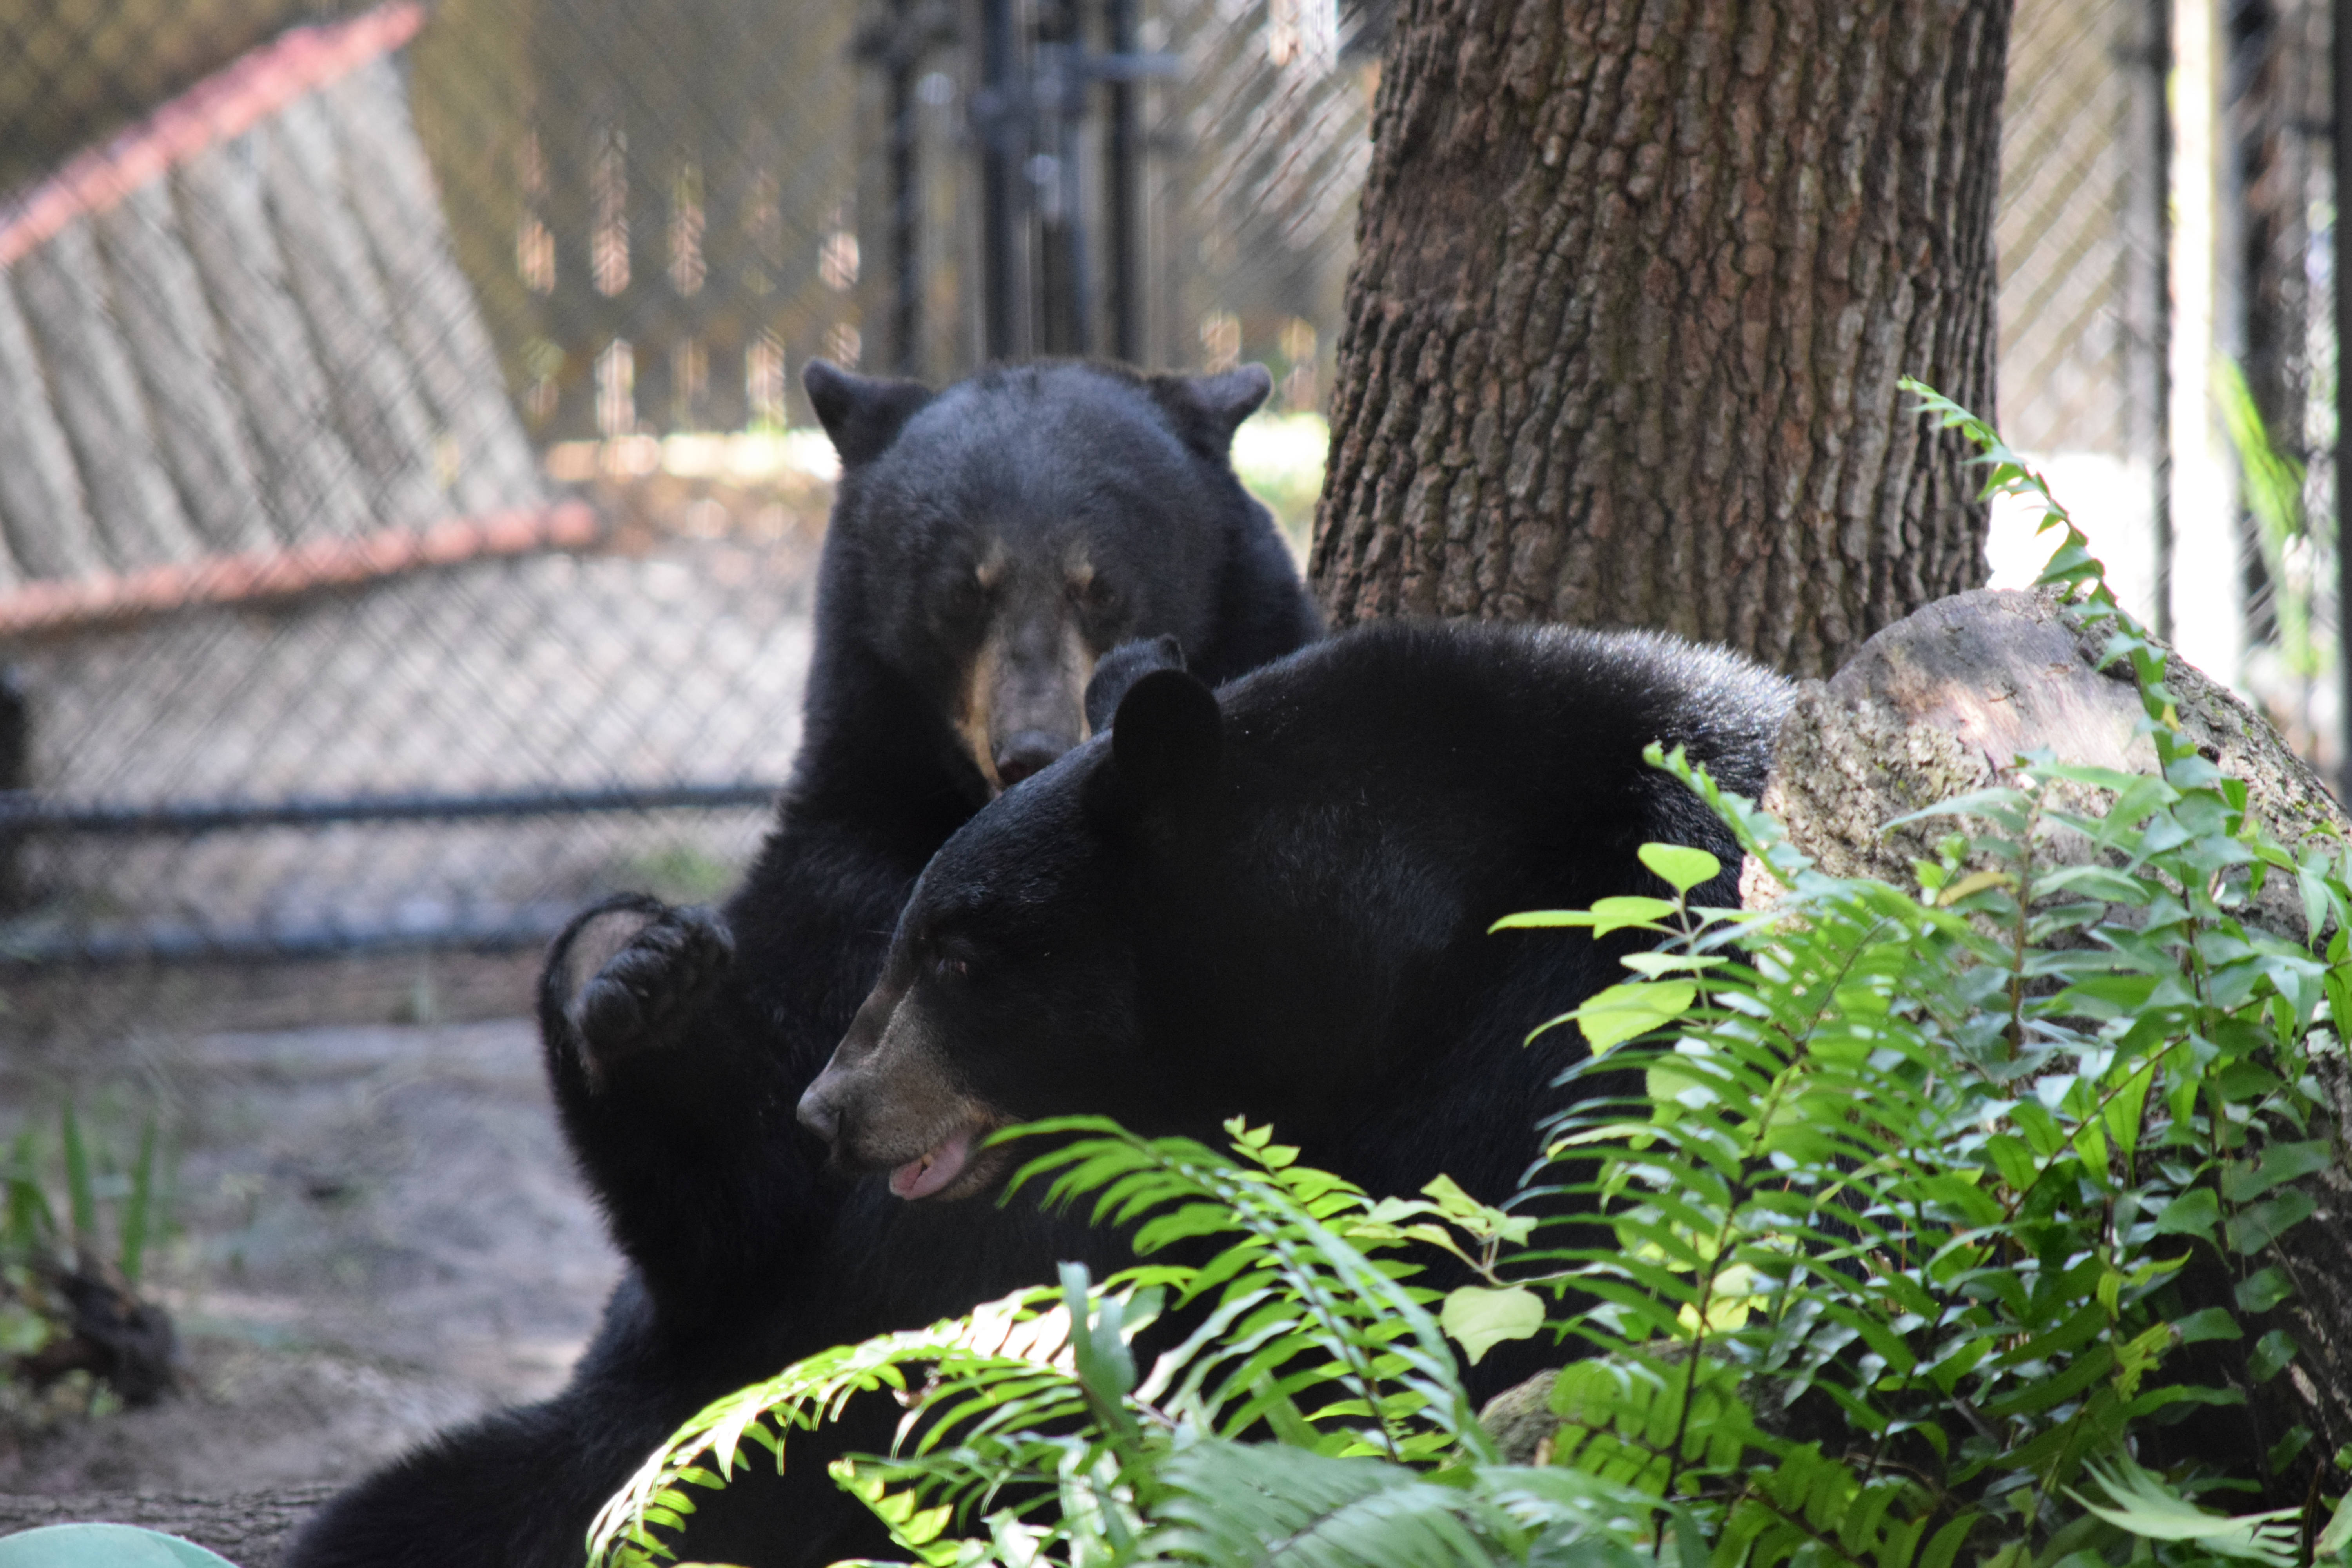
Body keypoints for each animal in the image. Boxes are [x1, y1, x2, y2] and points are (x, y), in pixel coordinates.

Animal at [283, 360, 1322, 1568]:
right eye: (962, 590)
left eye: (1100, 586)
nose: (1033, 750)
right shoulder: (842, 898)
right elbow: (744, 1217)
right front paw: (642, 976)